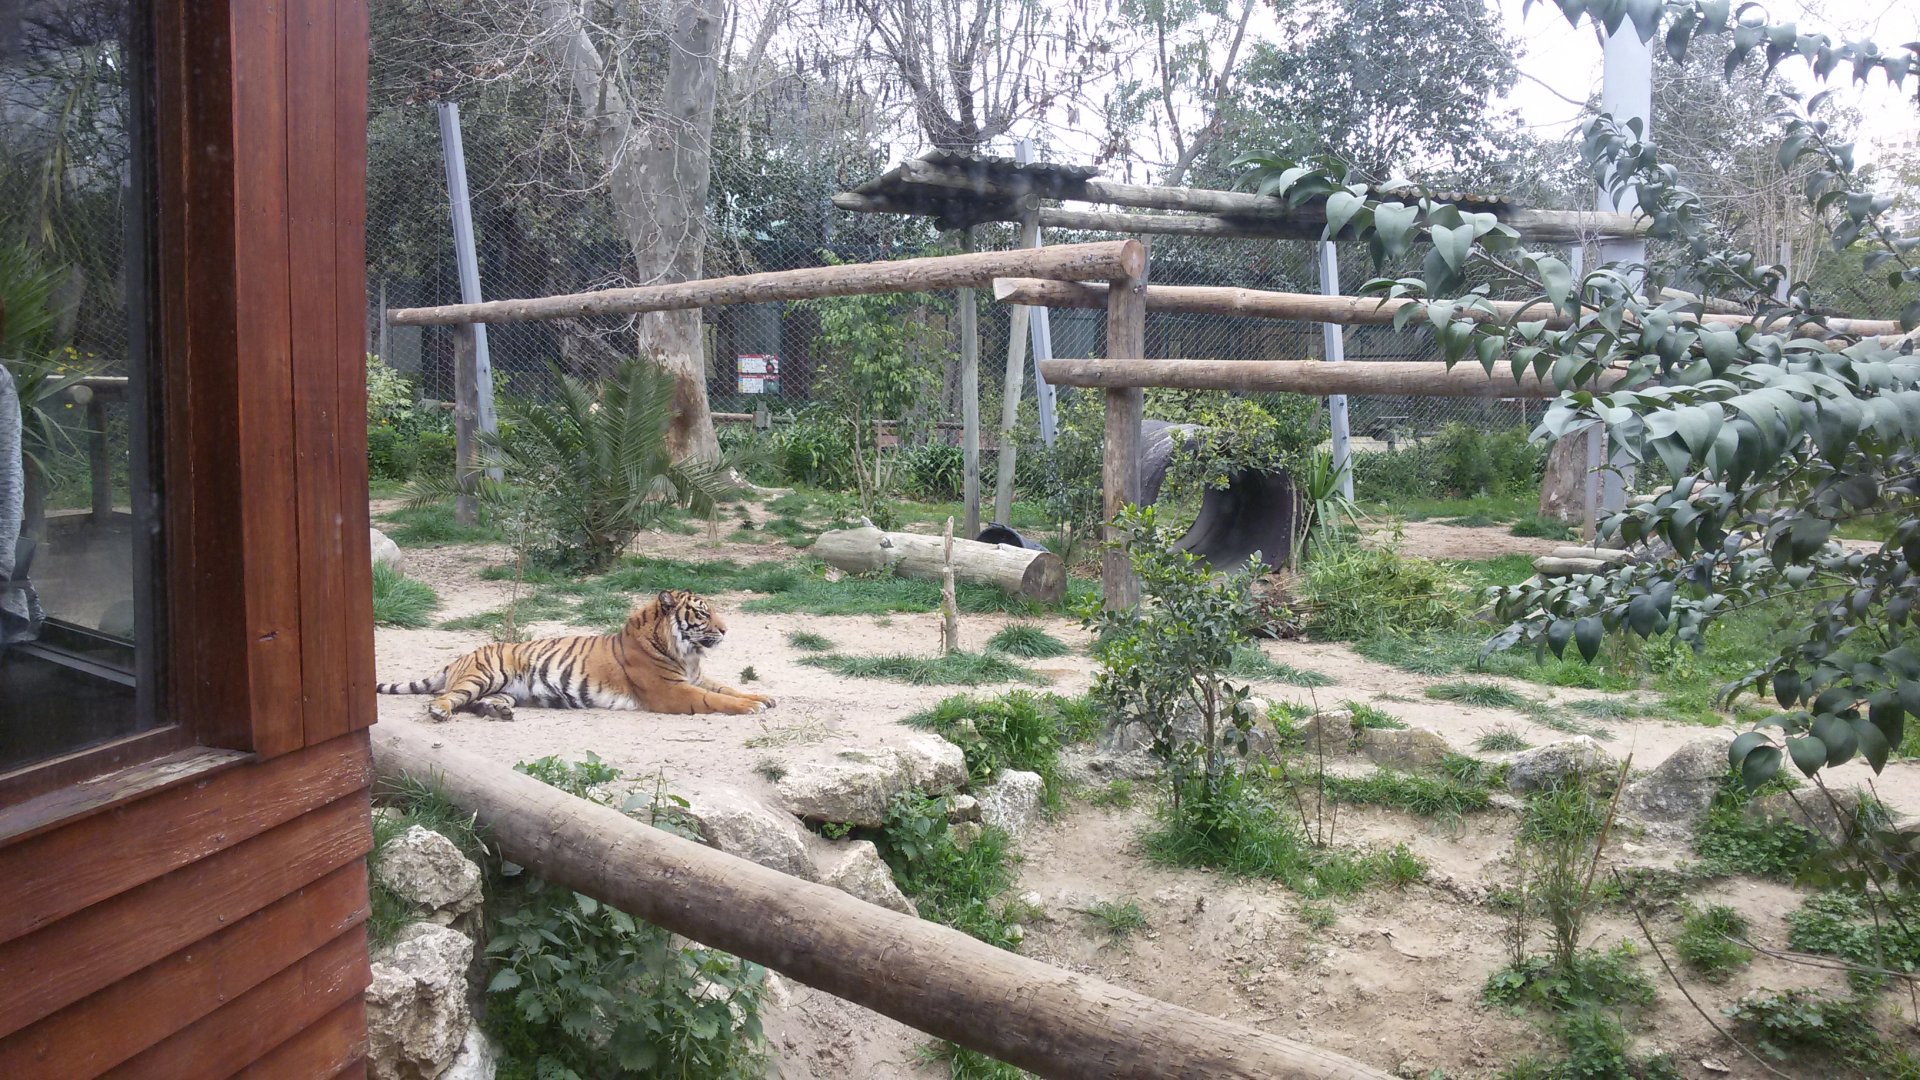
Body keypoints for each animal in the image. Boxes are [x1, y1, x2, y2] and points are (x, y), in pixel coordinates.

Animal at [377, 590, 775, 722]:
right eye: (703, 614)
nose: (726, 630)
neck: (686, 653)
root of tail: (460, 657)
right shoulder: (674, 691)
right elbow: (715, 700)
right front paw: (752, 707)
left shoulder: (696, 677)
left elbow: (729, 688)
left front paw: (764, 697)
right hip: (484, 675)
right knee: (446, 698)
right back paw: (440, 712)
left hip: (504, 689)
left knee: (477, 703)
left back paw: (498, 711)